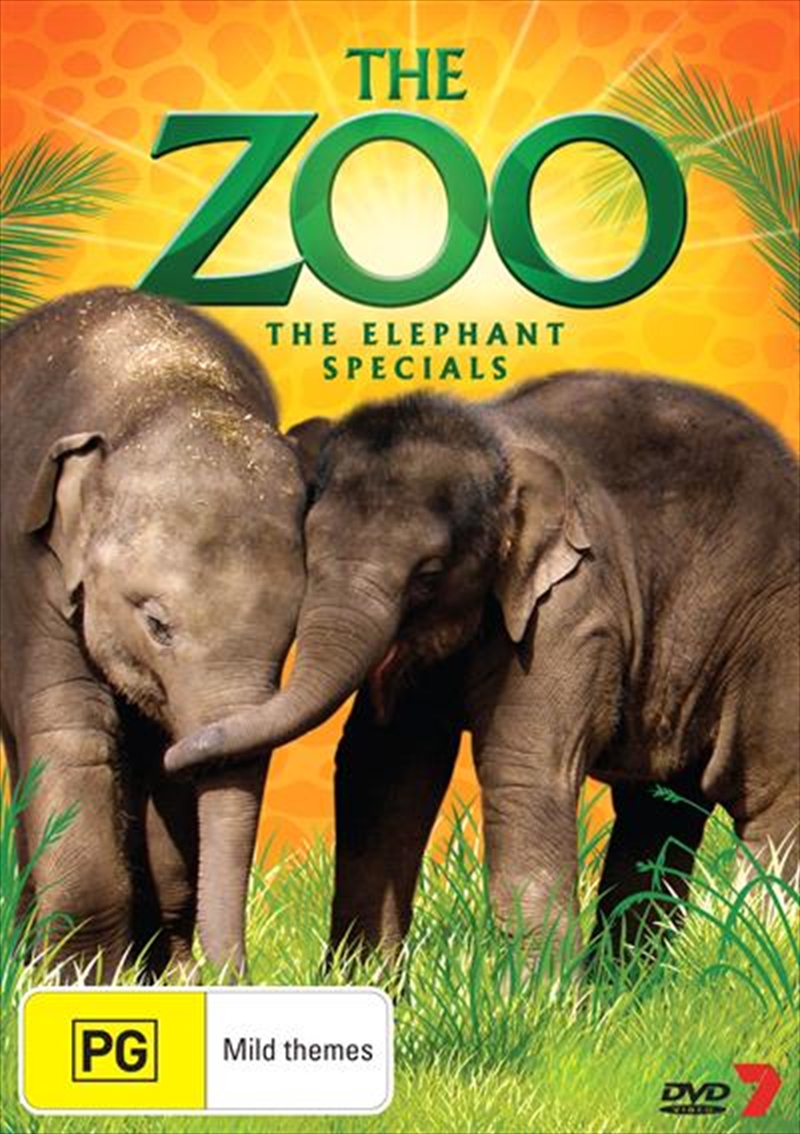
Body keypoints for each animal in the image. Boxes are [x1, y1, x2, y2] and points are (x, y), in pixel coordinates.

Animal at [1, 287, 308, 979]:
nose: (234, 981)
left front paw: (170, 978)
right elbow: (73, 740)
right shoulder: (30, 572)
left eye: (292, 634)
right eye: (157, 625)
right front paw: (84, 982)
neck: (166, 385)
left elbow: (172, 770)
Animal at [166, 371, 800, 961]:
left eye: (429, 573)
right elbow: (382, 768)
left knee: (772, 805)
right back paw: (626, 989)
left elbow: (523, 768)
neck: (498, 440)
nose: (175, 756)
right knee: (657, 814)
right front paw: (363, 981)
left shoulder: (572, 606)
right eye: (306, 550)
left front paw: (545, 1001)